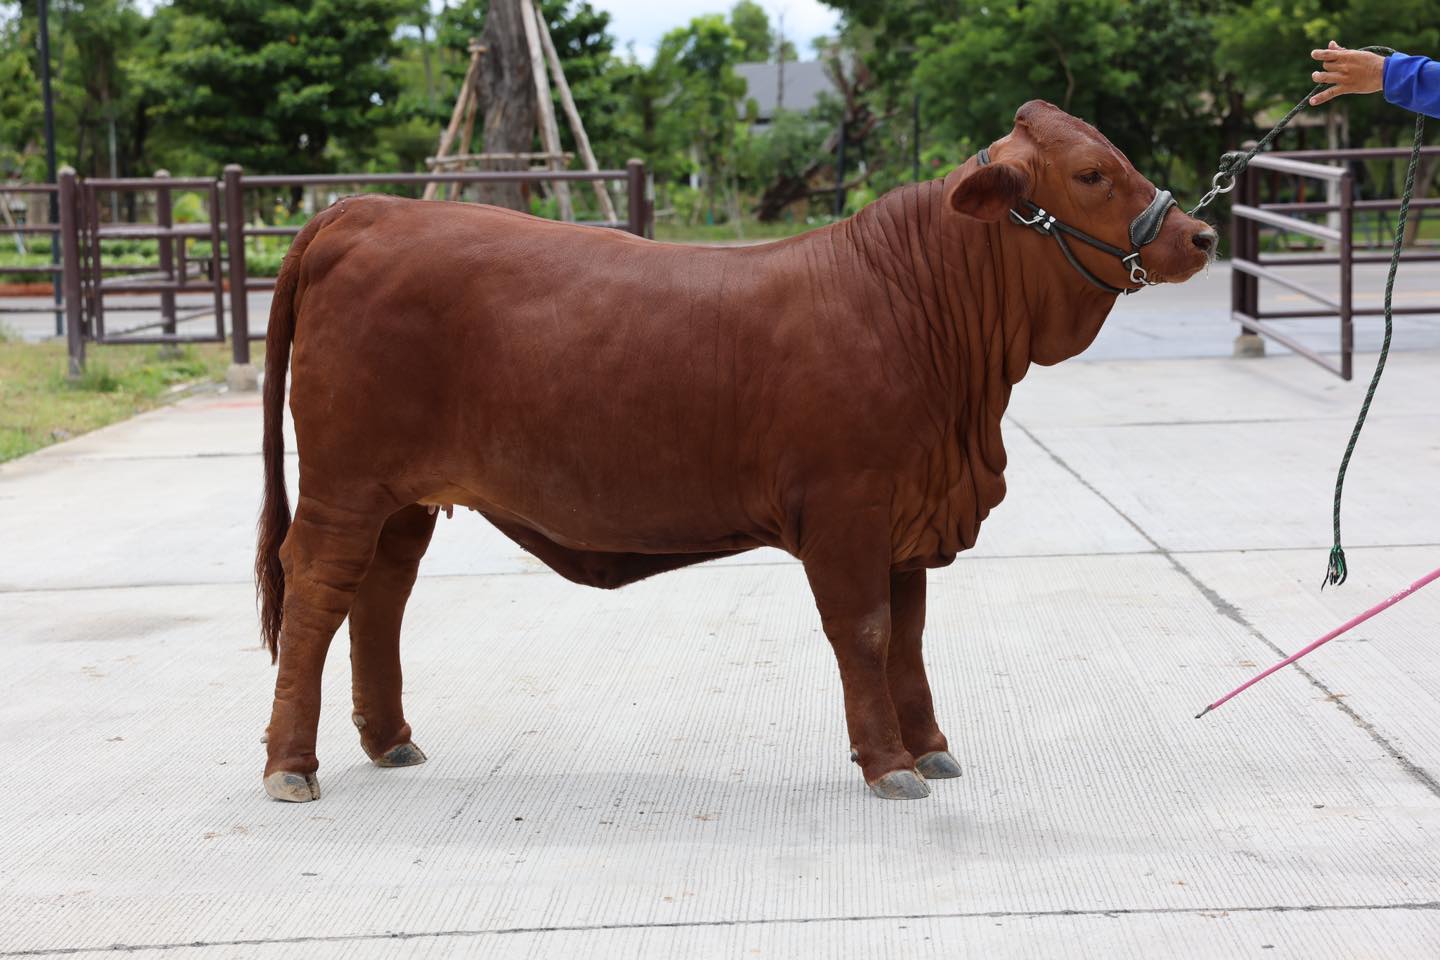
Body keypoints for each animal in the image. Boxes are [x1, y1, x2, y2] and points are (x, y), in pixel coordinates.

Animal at [255, 100, 1216, 803]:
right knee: (317, 593)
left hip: (401, 498)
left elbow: (908, 636)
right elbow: (865, 632)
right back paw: (290, 767)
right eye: (1091, 173)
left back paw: (390, 741)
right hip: (344, 485)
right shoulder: (848, 509)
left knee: (380, 597)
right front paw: (888, 765)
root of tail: (365, 209)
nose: (1201, 237)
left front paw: (930, 748)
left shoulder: (908, 516)